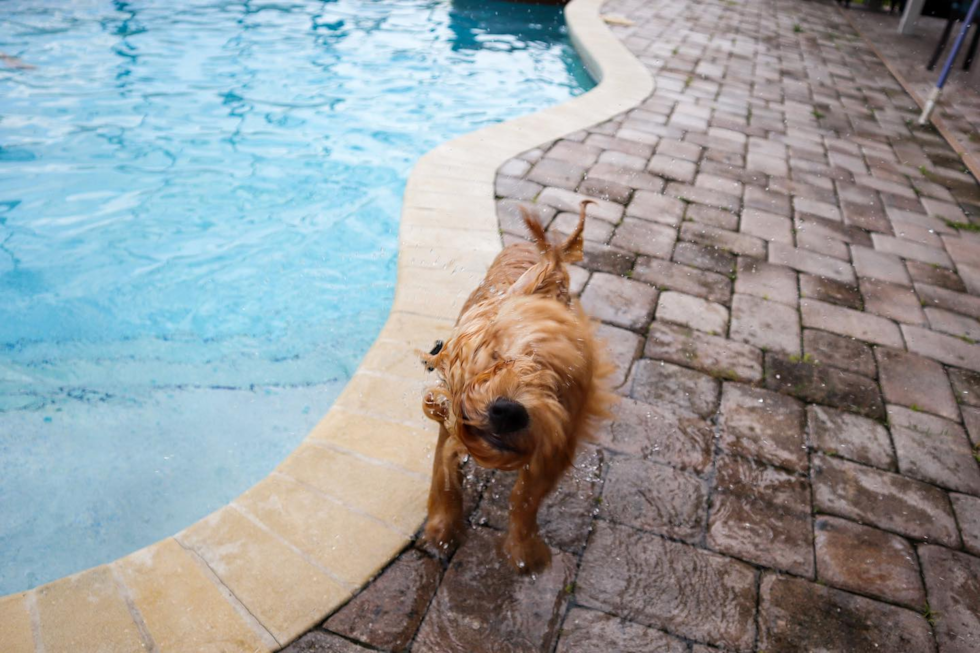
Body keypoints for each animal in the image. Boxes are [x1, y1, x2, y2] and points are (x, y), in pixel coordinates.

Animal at [420, 199, 612, 572]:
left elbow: (525, 498)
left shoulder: (555, 443)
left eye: (558, 384)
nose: (510, 412)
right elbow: (444, 477)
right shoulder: (450, 414)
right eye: (496, 355)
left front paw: (525, 549)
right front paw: (441, 530)